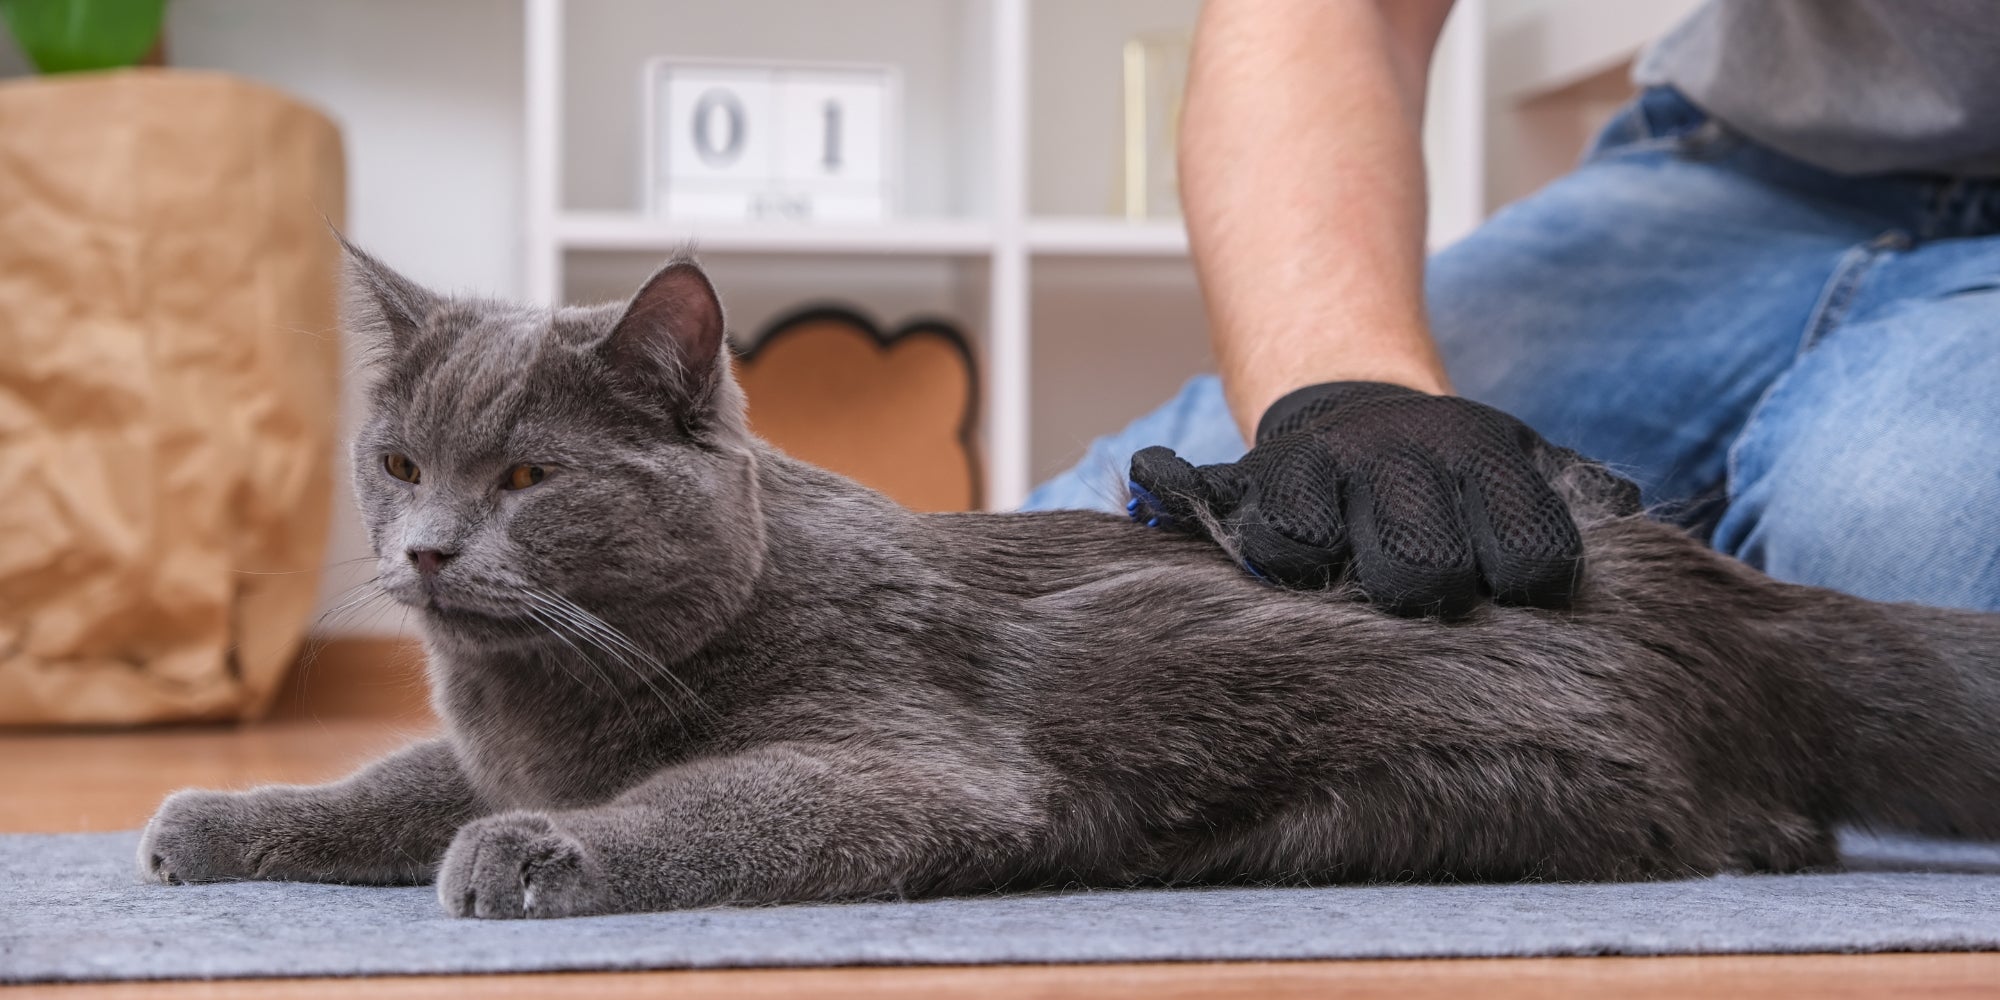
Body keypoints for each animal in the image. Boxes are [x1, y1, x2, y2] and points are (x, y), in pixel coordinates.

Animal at [137, 252, 2000, 920]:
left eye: (526, 479)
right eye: (400, 465)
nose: (429, 552)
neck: (542, 701)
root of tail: (1701, 572)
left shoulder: (905, 762)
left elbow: (719, 805)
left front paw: (539, 851)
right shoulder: (478, 734)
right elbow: (387, 779)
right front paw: (219, 823)